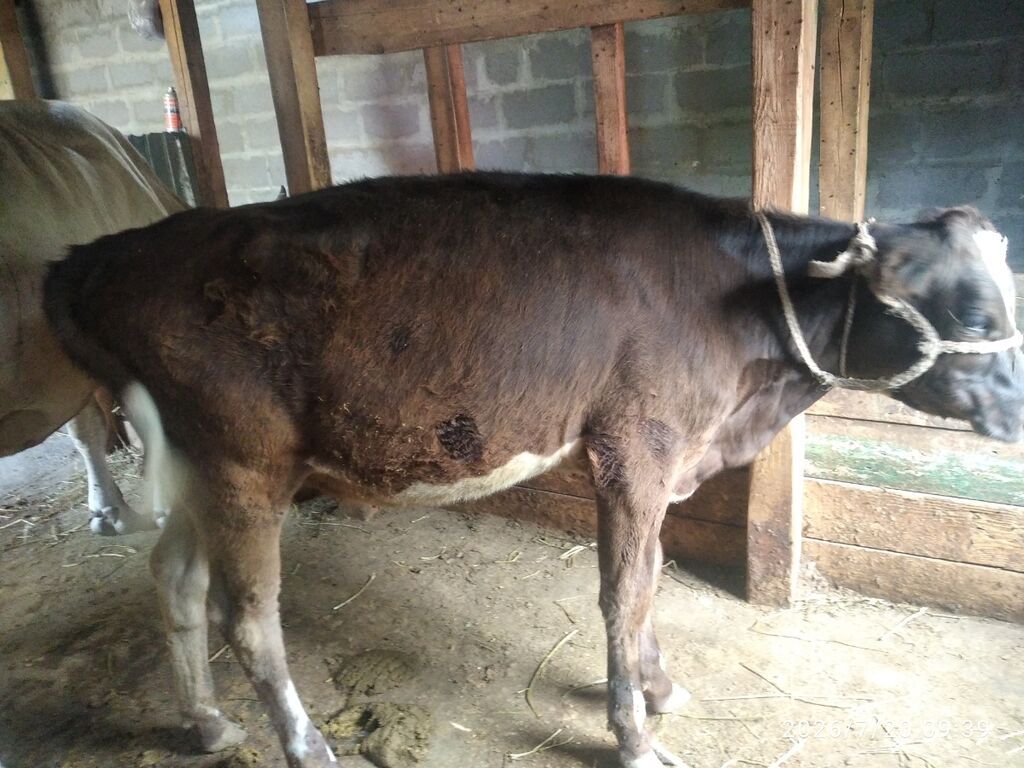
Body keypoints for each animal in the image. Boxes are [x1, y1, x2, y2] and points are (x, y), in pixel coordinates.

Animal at [43, 173, 1023, 768]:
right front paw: (632, 733)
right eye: (972, 310)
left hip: (192, 467)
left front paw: (658, 688)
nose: (1017, 411)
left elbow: (648, 581)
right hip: (241, 463)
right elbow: (626, 591)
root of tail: (98, 256)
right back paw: (304, 742)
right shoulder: (636, 447)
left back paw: (206, 721)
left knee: (173, 578)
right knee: (246, 618)